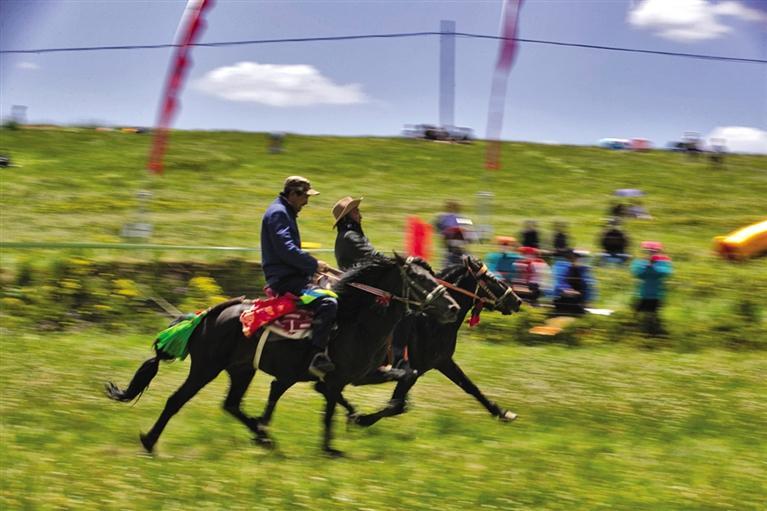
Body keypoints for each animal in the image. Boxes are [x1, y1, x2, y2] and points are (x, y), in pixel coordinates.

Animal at [105, 254, 460, 458]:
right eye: (417, 278)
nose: (454, 307)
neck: (355, 320)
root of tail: (207, 315)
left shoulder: (362, 375)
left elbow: (405, 377)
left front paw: (360, 419)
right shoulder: (338, 378)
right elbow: (329, 411)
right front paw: (331, 447)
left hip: (241, 370)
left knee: (231, 404)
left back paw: (264, 437)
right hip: (206, 368)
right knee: (176, 401)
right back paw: (149, 441)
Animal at [340, 256, 524, 428]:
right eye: (491, 278)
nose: (517, 300)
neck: (431, 322)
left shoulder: (442, 362)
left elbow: (471, 387)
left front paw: (502, 413)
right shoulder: (412, 370)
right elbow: (397, 405)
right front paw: (361, 419)